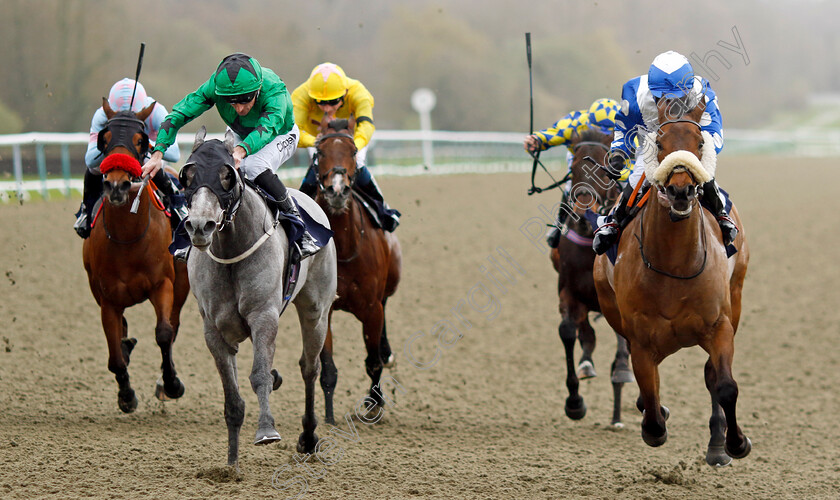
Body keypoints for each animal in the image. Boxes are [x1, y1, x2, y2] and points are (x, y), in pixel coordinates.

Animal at [80, 98, 189, 414]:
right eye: (104, 139)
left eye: (140, 141)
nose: (117, 185)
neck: (128, 238)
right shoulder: (107, 299)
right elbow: (115, 356)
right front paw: (126, 395)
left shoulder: (163, 284)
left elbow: (164, 333)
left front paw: (172, 384)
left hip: (182, 284)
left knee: (173, 326)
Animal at [182, 126, 336, 468]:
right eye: (188, 175)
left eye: (227, 175)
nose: (200, 226)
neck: (231, 250)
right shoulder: (214, 329)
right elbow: (233, 397)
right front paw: (230, 464)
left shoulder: (263, 315)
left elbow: (260, 375)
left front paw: (266, 430)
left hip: (316, 311)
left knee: (309, 368)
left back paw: (308, 437)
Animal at [314, 120, 402, 422]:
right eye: (319, 152)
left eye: (353, 151)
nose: (337, 190)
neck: (343, 247)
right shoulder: (323, 309)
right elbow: (327, 367)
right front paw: (328, 417)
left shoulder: (372, 308)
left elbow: (372, 361)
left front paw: (374, 403)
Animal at [548, 129, 632, 426]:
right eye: (572, 168)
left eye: (606, 172)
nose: (584, 213)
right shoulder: (570, 292)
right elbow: (568, 331)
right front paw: (574, 402)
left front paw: (621, 369)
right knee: (588, 336)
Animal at [592, 96, 752, 464]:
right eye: (660, 143)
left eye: (700, 143)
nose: (681, 190)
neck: (675, 264)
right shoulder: (640, 338)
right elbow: (650, 399)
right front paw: (655, 422)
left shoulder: (720, 325)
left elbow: (724, 385)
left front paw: (736, 443)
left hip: (736, 296)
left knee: (711, 376)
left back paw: (717, 443)